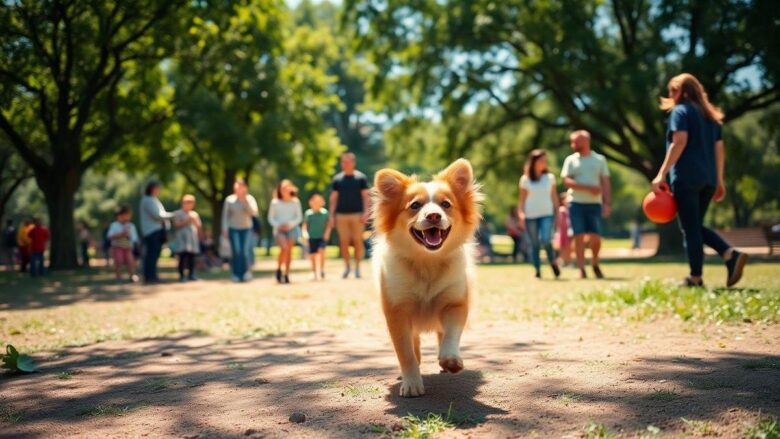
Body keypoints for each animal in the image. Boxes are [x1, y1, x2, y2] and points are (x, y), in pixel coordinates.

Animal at [370, 159, 482, 398]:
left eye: (446, 204)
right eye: (415, 205)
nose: (433, 215)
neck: (427, 261)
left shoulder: (455, 303)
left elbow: (451, 334)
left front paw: (451, 359)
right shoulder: (397, 311)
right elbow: (406, 353)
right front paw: (411, 383)